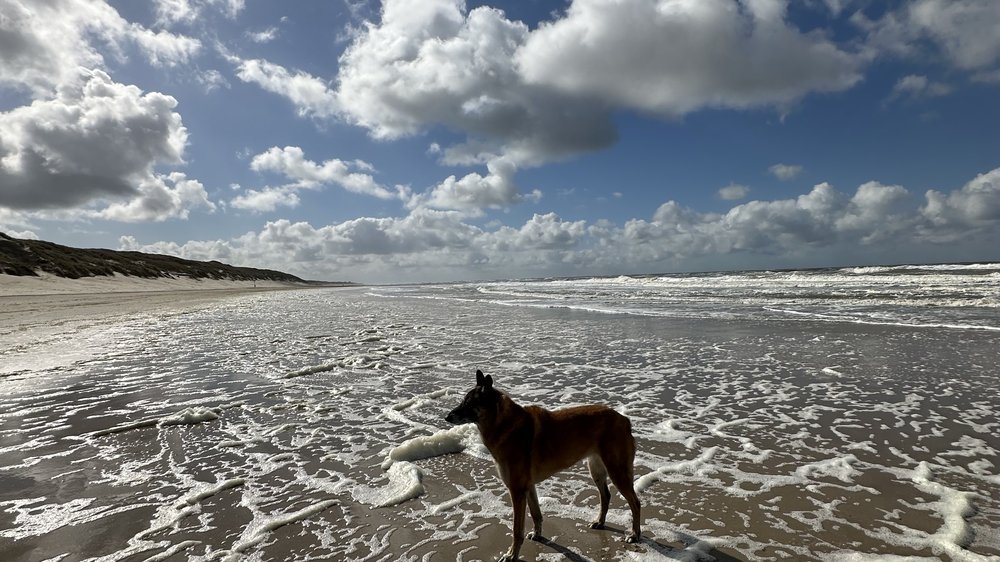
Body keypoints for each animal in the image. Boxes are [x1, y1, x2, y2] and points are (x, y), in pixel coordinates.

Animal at [446, 370, 640, 556]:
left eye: (469, 403)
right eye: (463, 401)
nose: (447, 417)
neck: (504, 424)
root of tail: (623, 419)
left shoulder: (517, 491)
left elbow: (517, 530)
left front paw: (512, 554)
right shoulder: (528, 487)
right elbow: (536, 514)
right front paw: (537, 535)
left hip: (617, 472)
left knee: (635, 502)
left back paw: (635, 534)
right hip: (597, 470)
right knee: (606, 496)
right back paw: (600, 522)